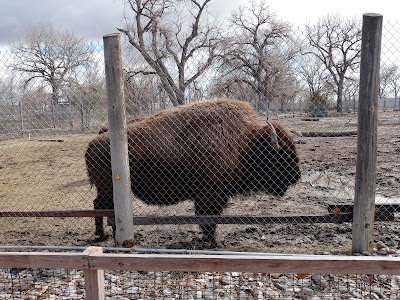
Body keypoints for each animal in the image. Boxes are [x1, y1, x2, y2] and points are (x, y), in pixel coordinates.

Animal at [86, 98, 302, 246]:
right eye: (282, 154)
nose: (296, 176)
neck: (245, 143)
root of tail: (94, 142)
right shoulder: (211, 194)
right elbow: (208, 218)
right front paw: (213, 241)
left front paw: (209, 239)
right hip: (107, 189)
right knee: (101, 207)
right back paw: (104, 235)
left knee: (103, 208)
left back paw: (106, 235)